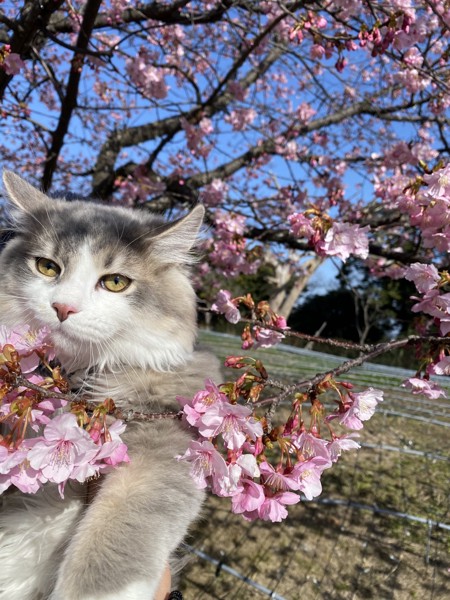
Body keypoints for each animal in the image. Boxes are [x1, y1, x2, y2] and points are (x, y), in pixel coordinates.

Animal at [0, 171, 220, 600]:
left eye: (115, 282)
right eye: (47, 267)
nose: (63, 307)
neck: (74, 377)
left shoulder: (166, 438)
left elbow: (120, 532)